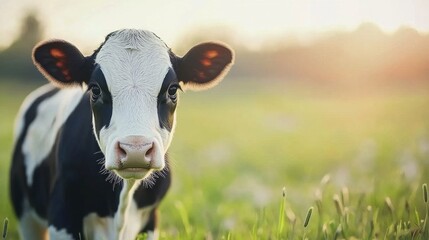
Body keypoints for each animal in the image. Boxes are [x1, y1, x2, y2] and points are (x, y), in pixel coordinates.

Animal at [10, 29, 232, 239]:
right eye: (95, 89)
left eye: (172, 90)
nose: (135, 150)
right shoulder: (62, 214)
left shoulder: (151, 219)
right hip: (24, 212)